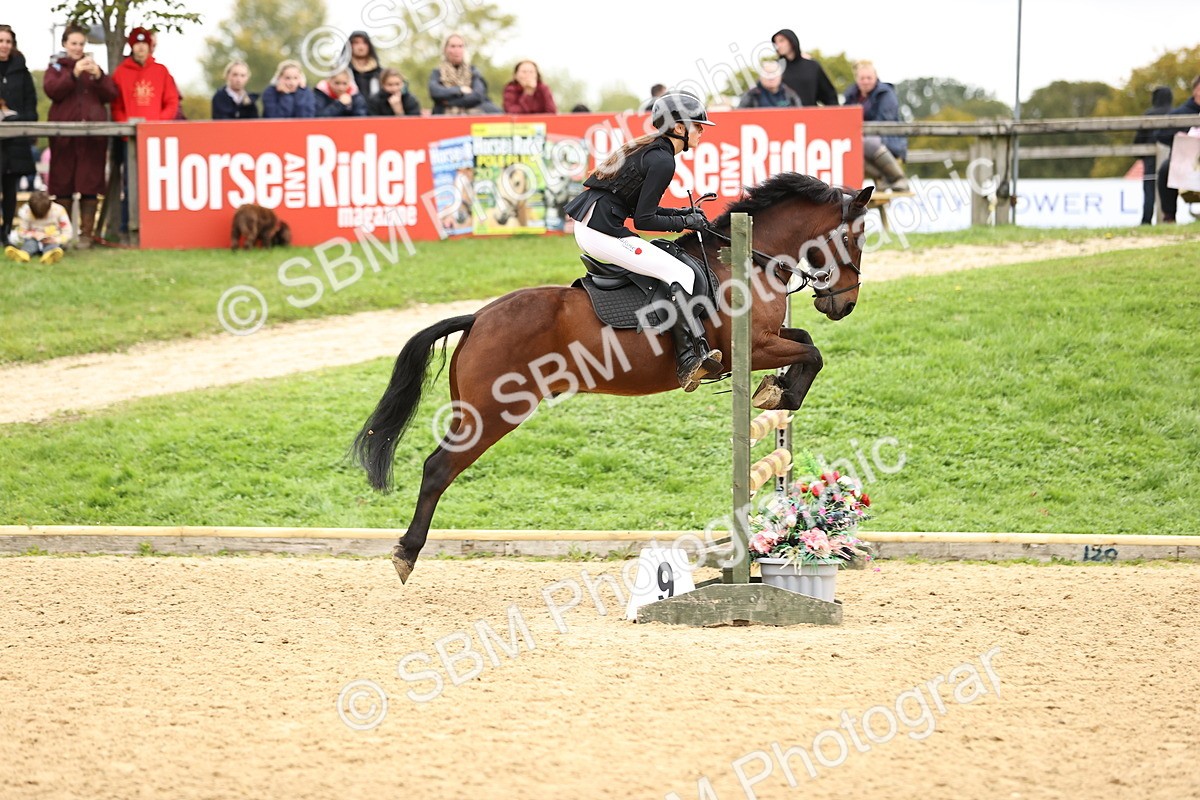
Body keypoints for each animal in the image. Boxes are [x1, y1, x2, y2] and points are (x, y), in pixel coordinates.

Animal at [353, 173, 873, 582]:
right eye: (856, 237)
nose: (845, 304)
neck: (745, 260)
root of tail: (478, 317)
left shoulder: (769, 338)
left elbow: (805, 341)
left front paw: (778, 388)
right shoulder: (753, 346)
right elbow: (813, 352)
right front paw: (779, 392)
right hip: (493, 413)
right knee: (438, 468)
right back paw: (406, 553)